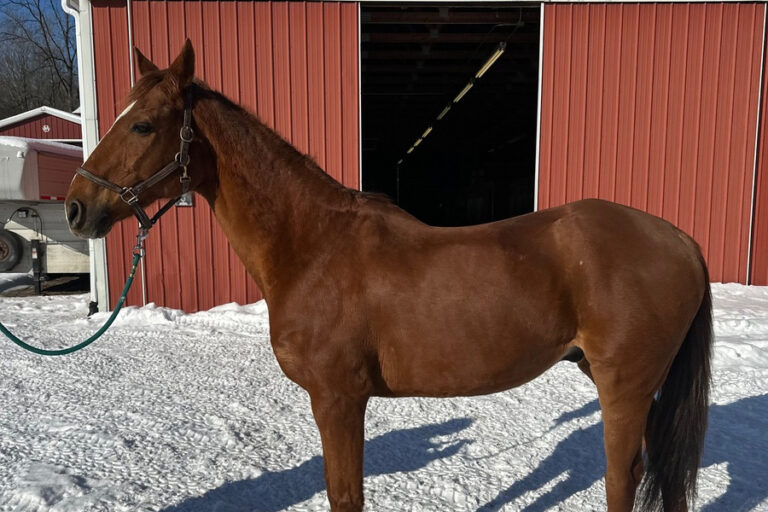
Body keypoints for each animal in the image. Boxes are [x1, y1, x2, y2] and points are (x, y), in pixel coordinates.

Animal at [65, 41, 712, 512]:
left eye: (144, 126)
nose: (75, 208)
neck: (314, 247)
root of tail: (679, 239)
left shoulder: (338, 400)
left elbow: (345, 495)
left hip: (624, 387)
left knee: (623, 479)